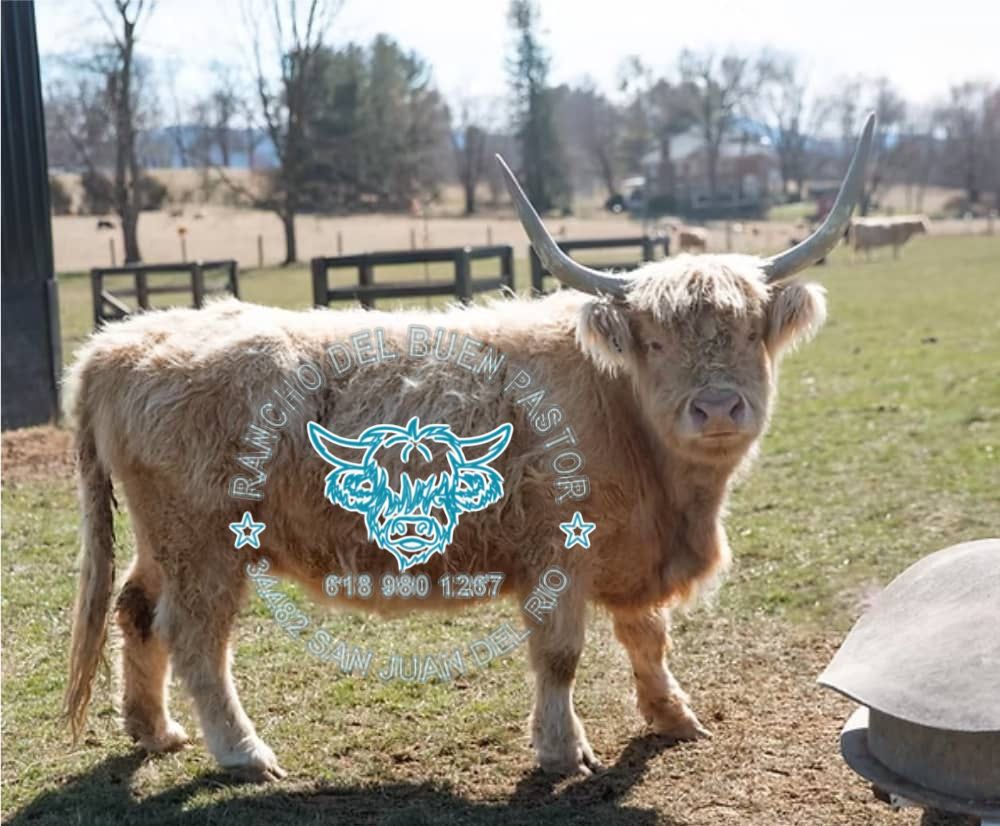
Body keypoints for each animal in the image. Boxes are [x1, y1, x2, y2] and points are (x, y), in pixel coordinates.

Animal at [63, 115, 875, 782]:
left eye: (750, 331)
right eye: (654, 340)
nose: (716, 408)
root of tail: (124, 339)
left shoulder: (628, 552)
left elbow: (648, 636)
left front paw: (673, 716)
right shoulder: (558, 554)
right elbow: (561, 654)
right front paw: (562, 750)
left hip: (164, 537)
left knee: (137, 610)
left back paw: (155, 730)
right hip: (204, 545)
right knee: (196, 638)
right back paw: (242, 752)